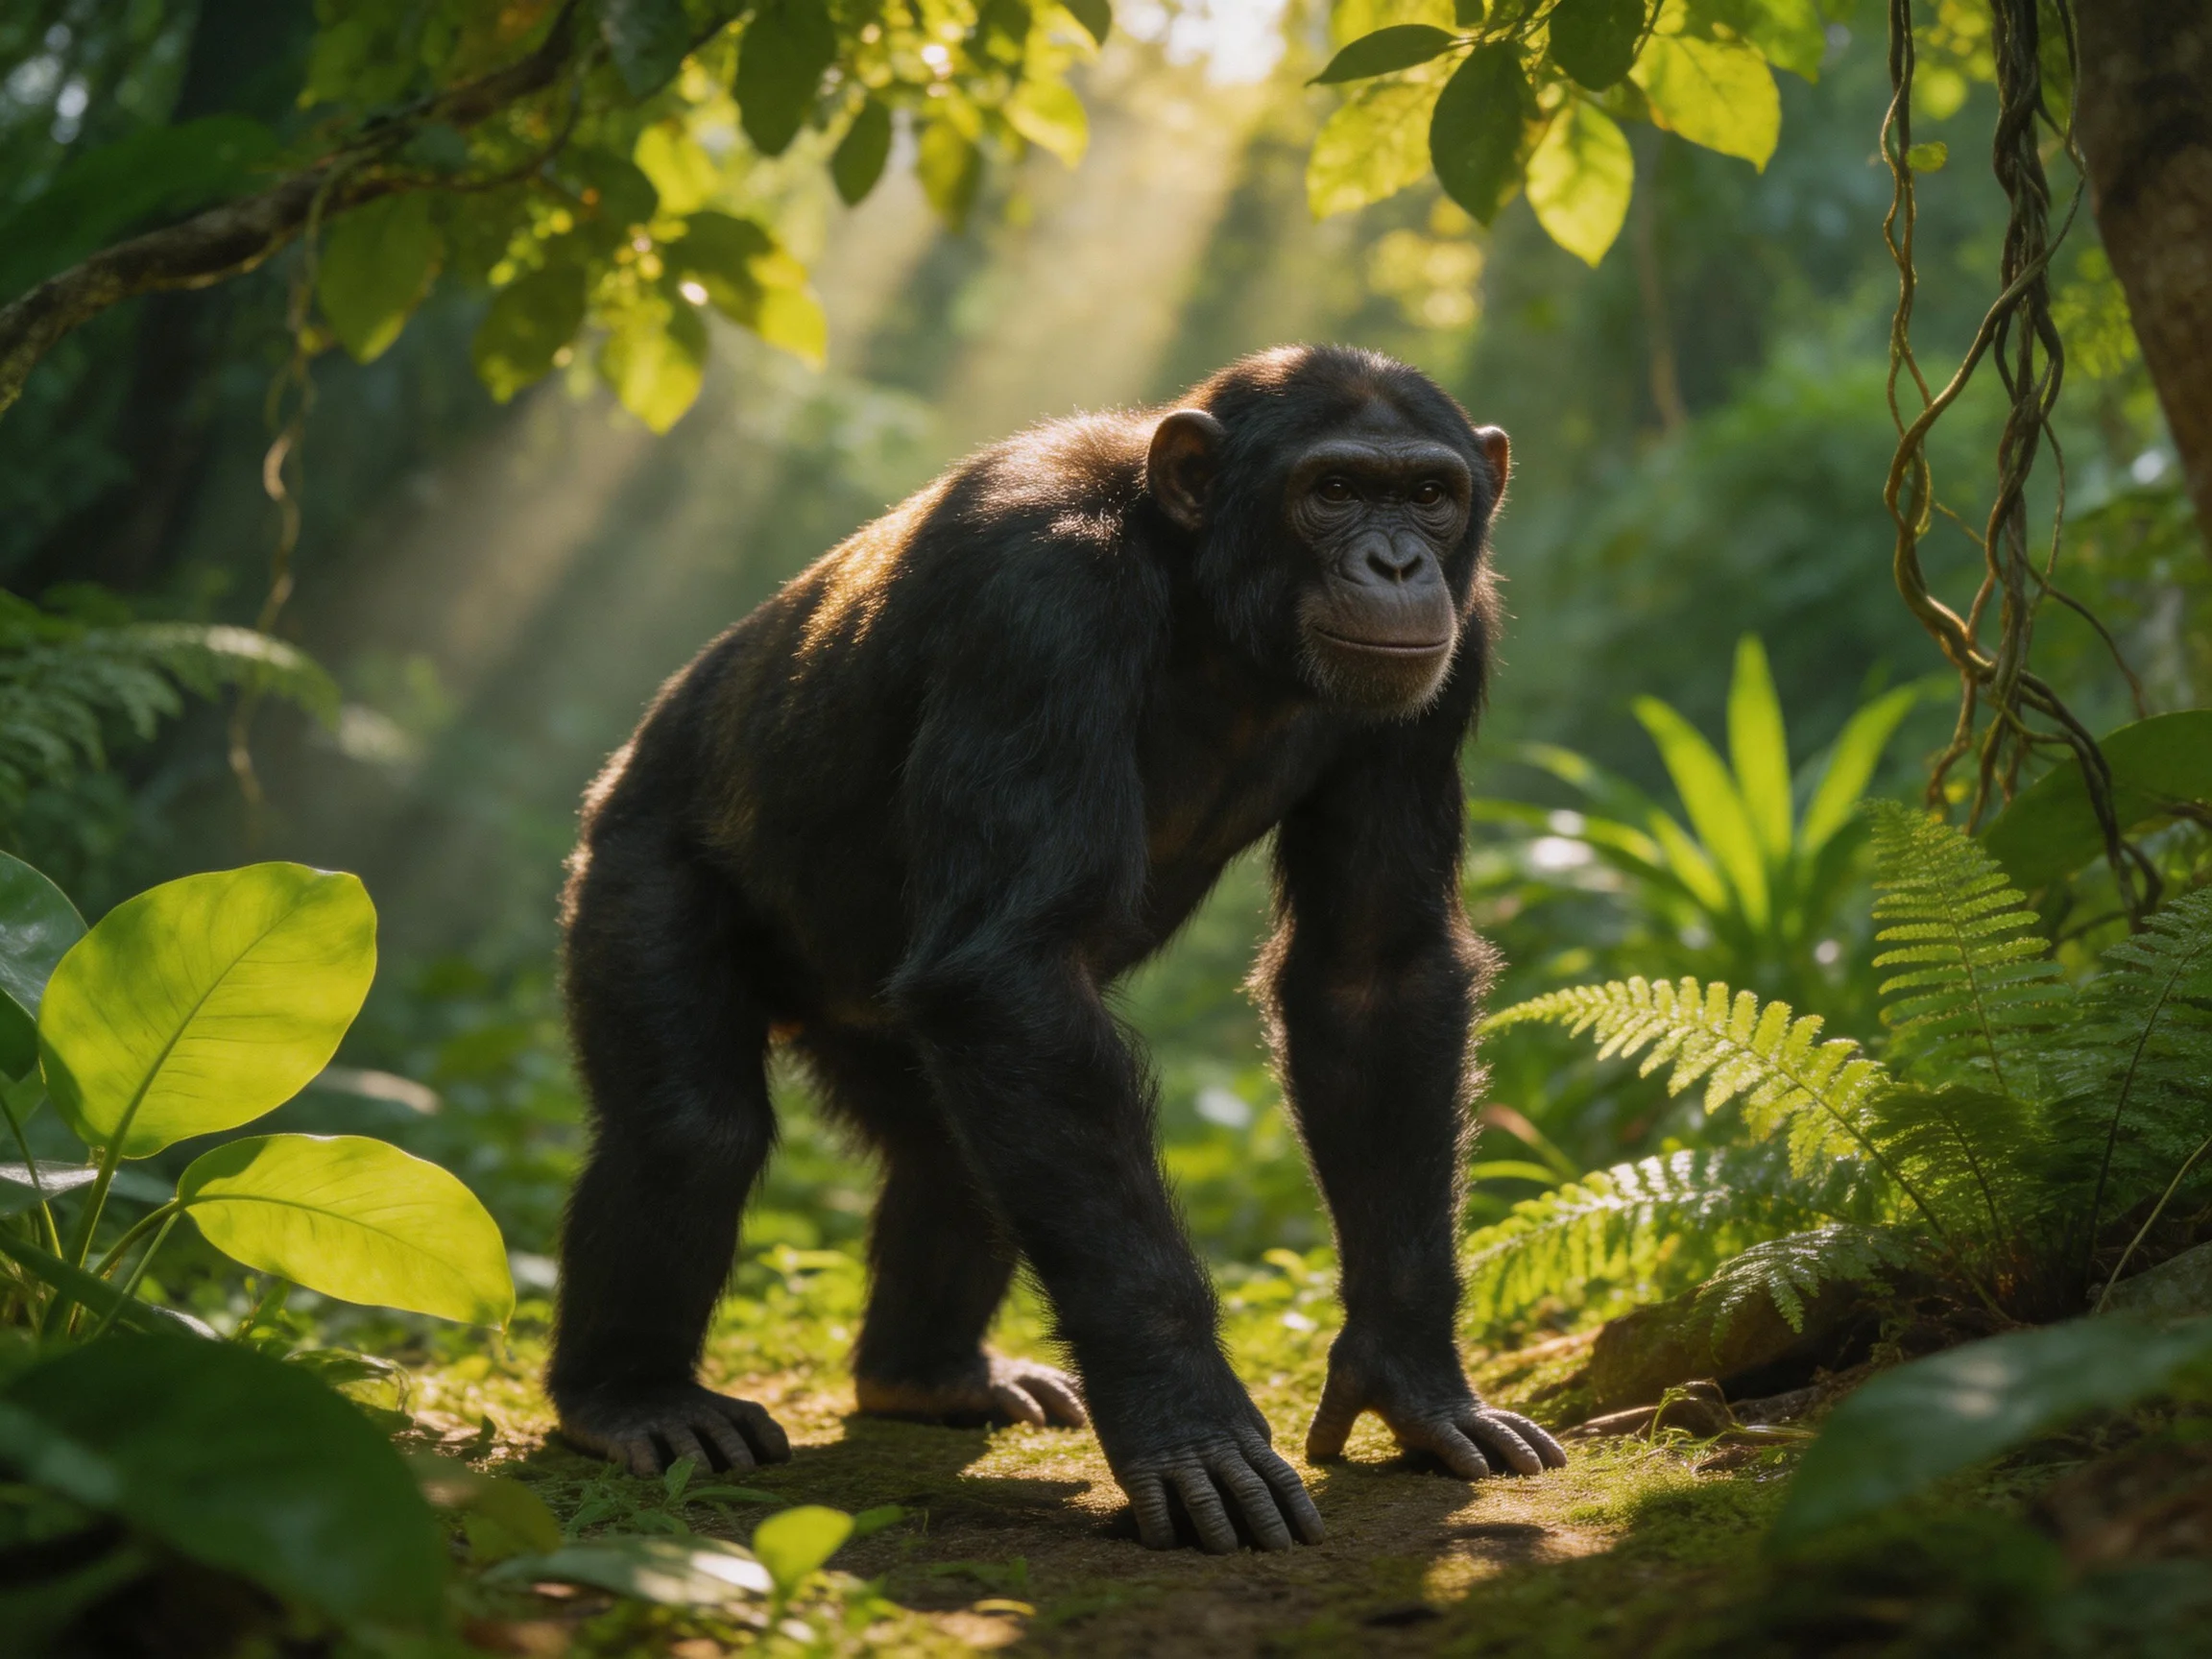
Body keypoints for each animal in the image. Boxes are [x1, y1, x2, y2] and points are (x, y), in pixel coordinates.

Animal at [548, 344, 1568, 1554]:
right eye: (1331, 491)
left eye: (1428, 493)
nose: (1399, 559)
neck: (1209, 604)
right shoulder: (1038, 603)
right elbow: (1011, 968)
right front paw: (1190, 1426)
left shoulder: (1457, 654)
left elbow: (1375, 972)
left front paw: (1410, 1379)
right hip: (631, 859)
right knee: (691, 1129)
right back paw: (631, 1398)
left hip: (870, 1019)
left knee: (958, 1151)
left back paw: (929, 1375)